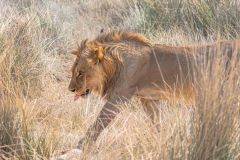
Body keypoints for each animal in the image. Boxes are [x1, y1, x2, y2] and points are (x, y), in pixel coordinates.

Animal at [68, 31, 239, 150]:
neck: (117, 63)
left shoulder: (120, 96)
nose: (70, 89)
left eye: (80, 73)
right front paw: (166, 142)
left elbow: (100, 121)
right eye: (73, 71)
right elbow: (158, 123)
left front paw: (81, 146)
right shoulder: (149, 99)